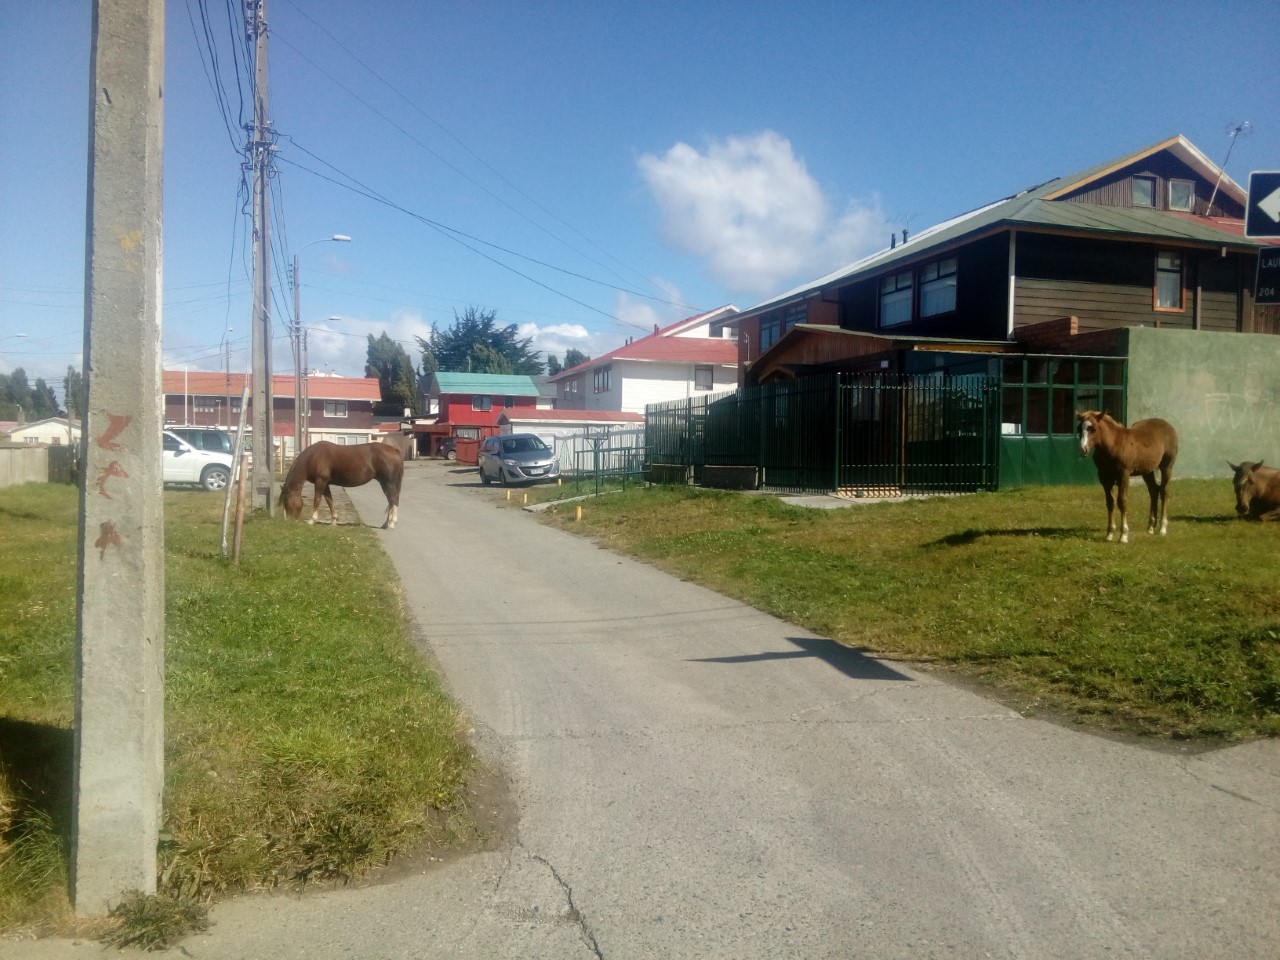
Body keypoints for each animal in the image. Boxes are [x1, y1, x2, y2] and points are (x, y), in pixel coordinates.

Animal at [1075, 412, 1172, 545]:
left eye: (1093, 429)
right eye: (1079, 428)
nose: (1082, 450)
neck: (1113, 444)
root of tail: (1168, 426)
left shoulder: (1124, 475)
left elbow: (1122, 501)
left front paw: (1123, 535)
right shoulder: (1104, 478)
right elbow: (1110, 503)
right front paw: (1109, 534)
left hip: (1166, 467)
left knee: (1164, 492)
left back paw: (1162, 528)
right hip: (1147, 471)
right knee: (1154, 490)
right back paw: (1151, 527)